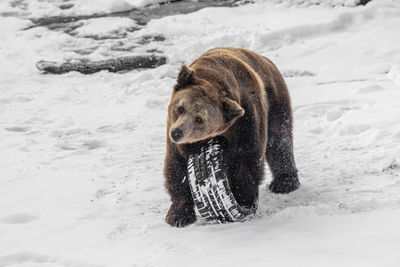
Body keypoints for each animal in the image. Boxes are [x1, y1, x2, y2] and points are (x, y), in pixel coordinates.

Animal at [164, 47, 298, 227]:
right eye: (181, 108)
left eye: (199, 119)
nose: (177, 132)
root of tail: (264, 59)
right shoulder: (179, 142)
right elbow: (177, 169)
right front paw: (178, 216)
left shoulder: (245, 120)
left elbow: (246, 160)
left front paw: (241, 200)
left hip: (274, 98)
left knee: (279, 140)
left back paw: (284, 183)